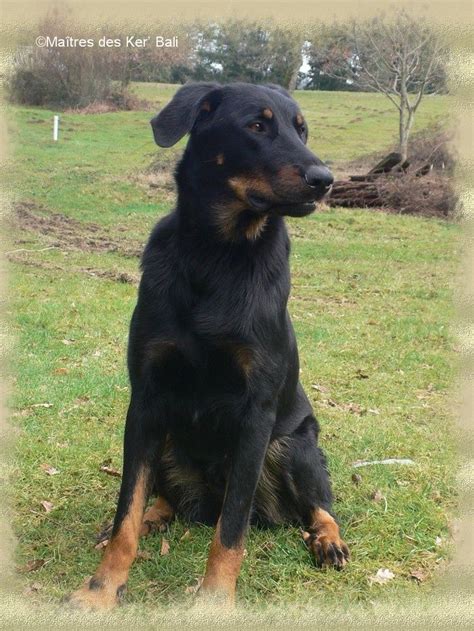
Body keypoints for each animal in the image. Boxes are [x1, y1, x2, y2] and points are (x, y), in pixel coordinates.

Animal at [70, 81, 350, 608]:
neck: (217, 254)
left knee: (320, 506)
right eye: (257, 126)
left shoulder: (257, 413)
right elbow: (125, 513)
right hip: (167, 440)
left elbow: (231, 528)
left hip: (294, 446)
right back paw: (156, 515)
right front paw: (101, 589)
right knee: (163, 500)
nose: (325, 180)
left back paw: (329, 541)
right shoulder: (146, 400)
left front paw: (215, 600)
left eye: (301, 130)